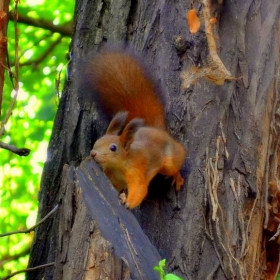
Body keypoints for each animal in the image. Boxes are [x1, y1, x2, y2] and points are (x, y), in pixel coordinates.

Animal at [87, 49, 186, 208]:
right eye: (97, 142)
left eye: (113, 148)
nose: (93, 153)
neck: (119, 165)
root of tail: (157, 130)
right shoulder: (112, 177)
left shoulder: (136, 170)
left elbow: (140, 188)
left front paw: (127, 202)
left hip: (169, 161)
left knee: (174, 168)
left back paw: (177, 178)